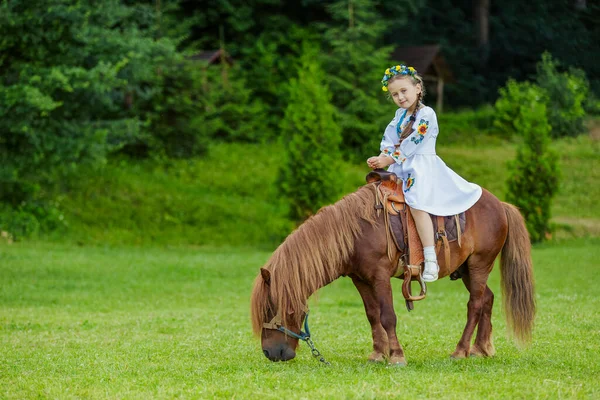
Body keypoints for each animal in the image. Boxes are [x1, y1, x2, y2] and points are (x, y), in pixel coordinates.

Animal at [248, 184, 536, 366]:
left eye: (271, 308)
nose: (270, 353)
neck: (356, 231)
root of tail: (499, 204)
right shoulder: (360, 279)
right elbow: (372, 315)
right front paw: (378, 353)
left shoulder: (379, 276)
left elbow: (388, 316)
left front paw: (396, 355)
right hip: (467, 269)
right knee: (487, 298)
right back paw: (480, 349)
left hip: (479, 264)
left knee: (475, 304)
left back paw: (461, 350)